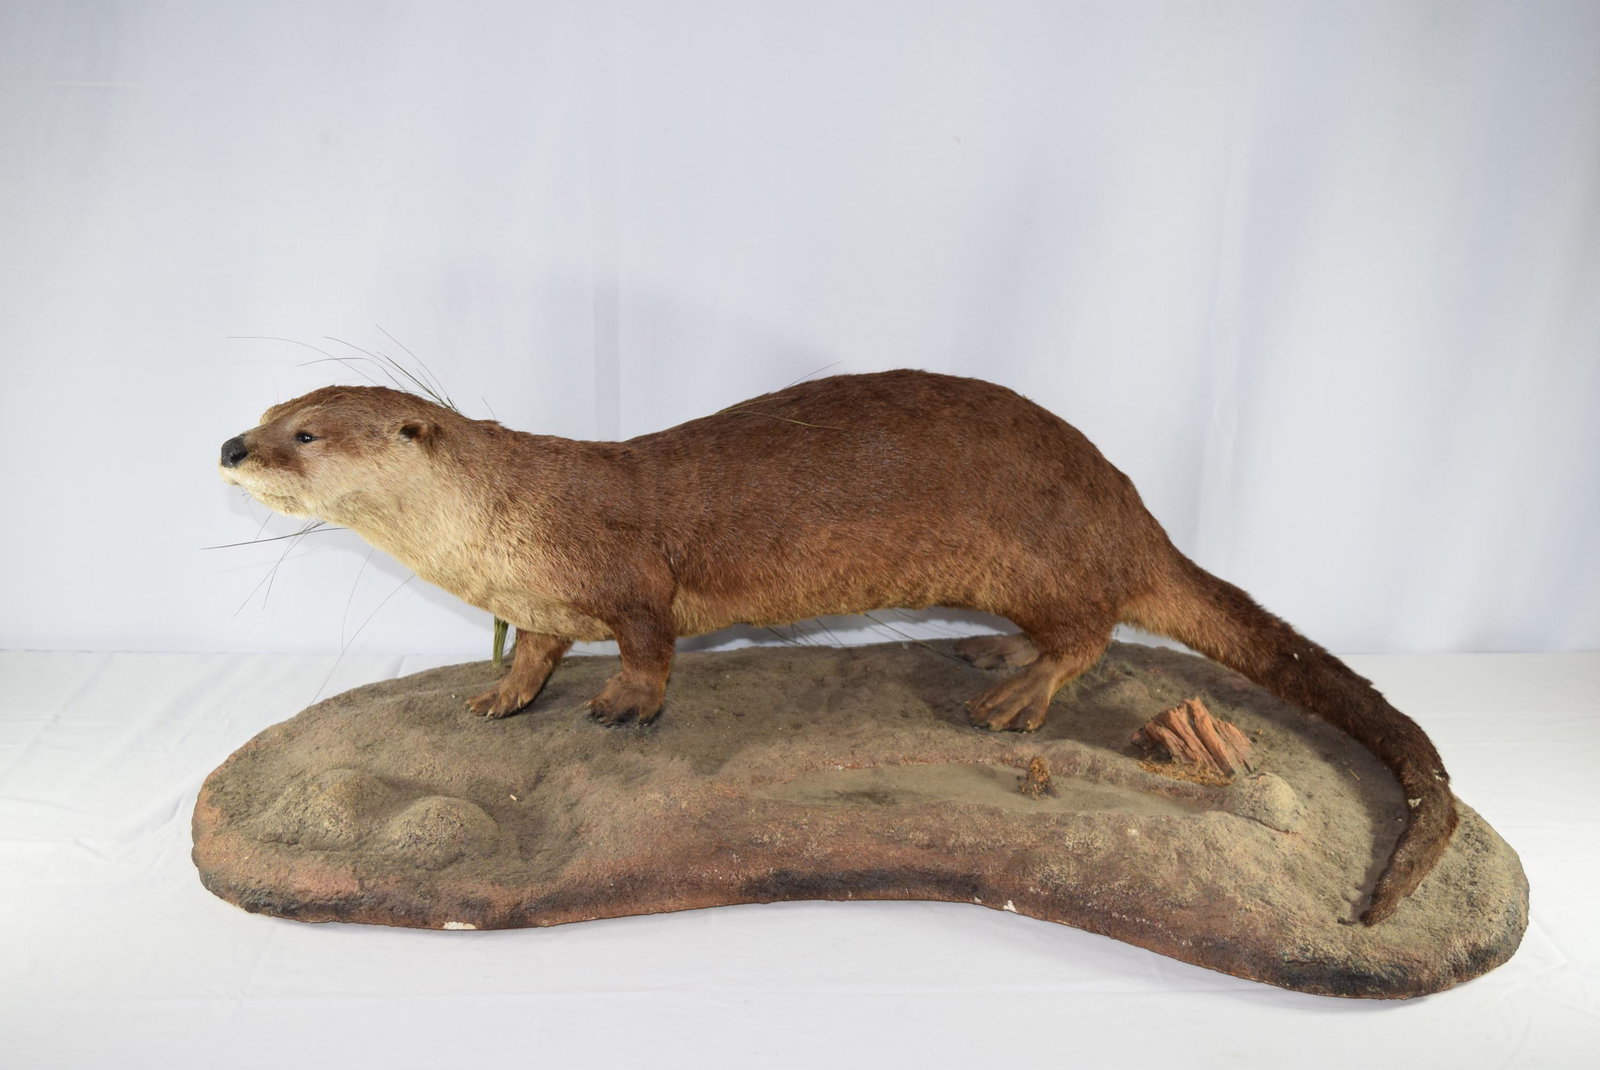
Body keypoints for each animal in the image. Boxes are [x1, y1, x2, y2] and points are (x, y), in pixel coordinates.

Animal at [217, 369, 1455, 924]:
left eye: (307, 432)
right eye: (271, 409)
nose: (230, 443)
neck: (507, 521)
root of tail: (1129, 510)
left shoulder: (627, 575)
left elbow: (650, 644)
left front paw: (622, 706)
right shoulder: (540, 599)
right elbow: (532, 653)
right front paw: (498, 699)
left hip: (1054, 554)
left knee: (1091, 631)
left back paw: (1014, 697)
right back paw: (985, 659)